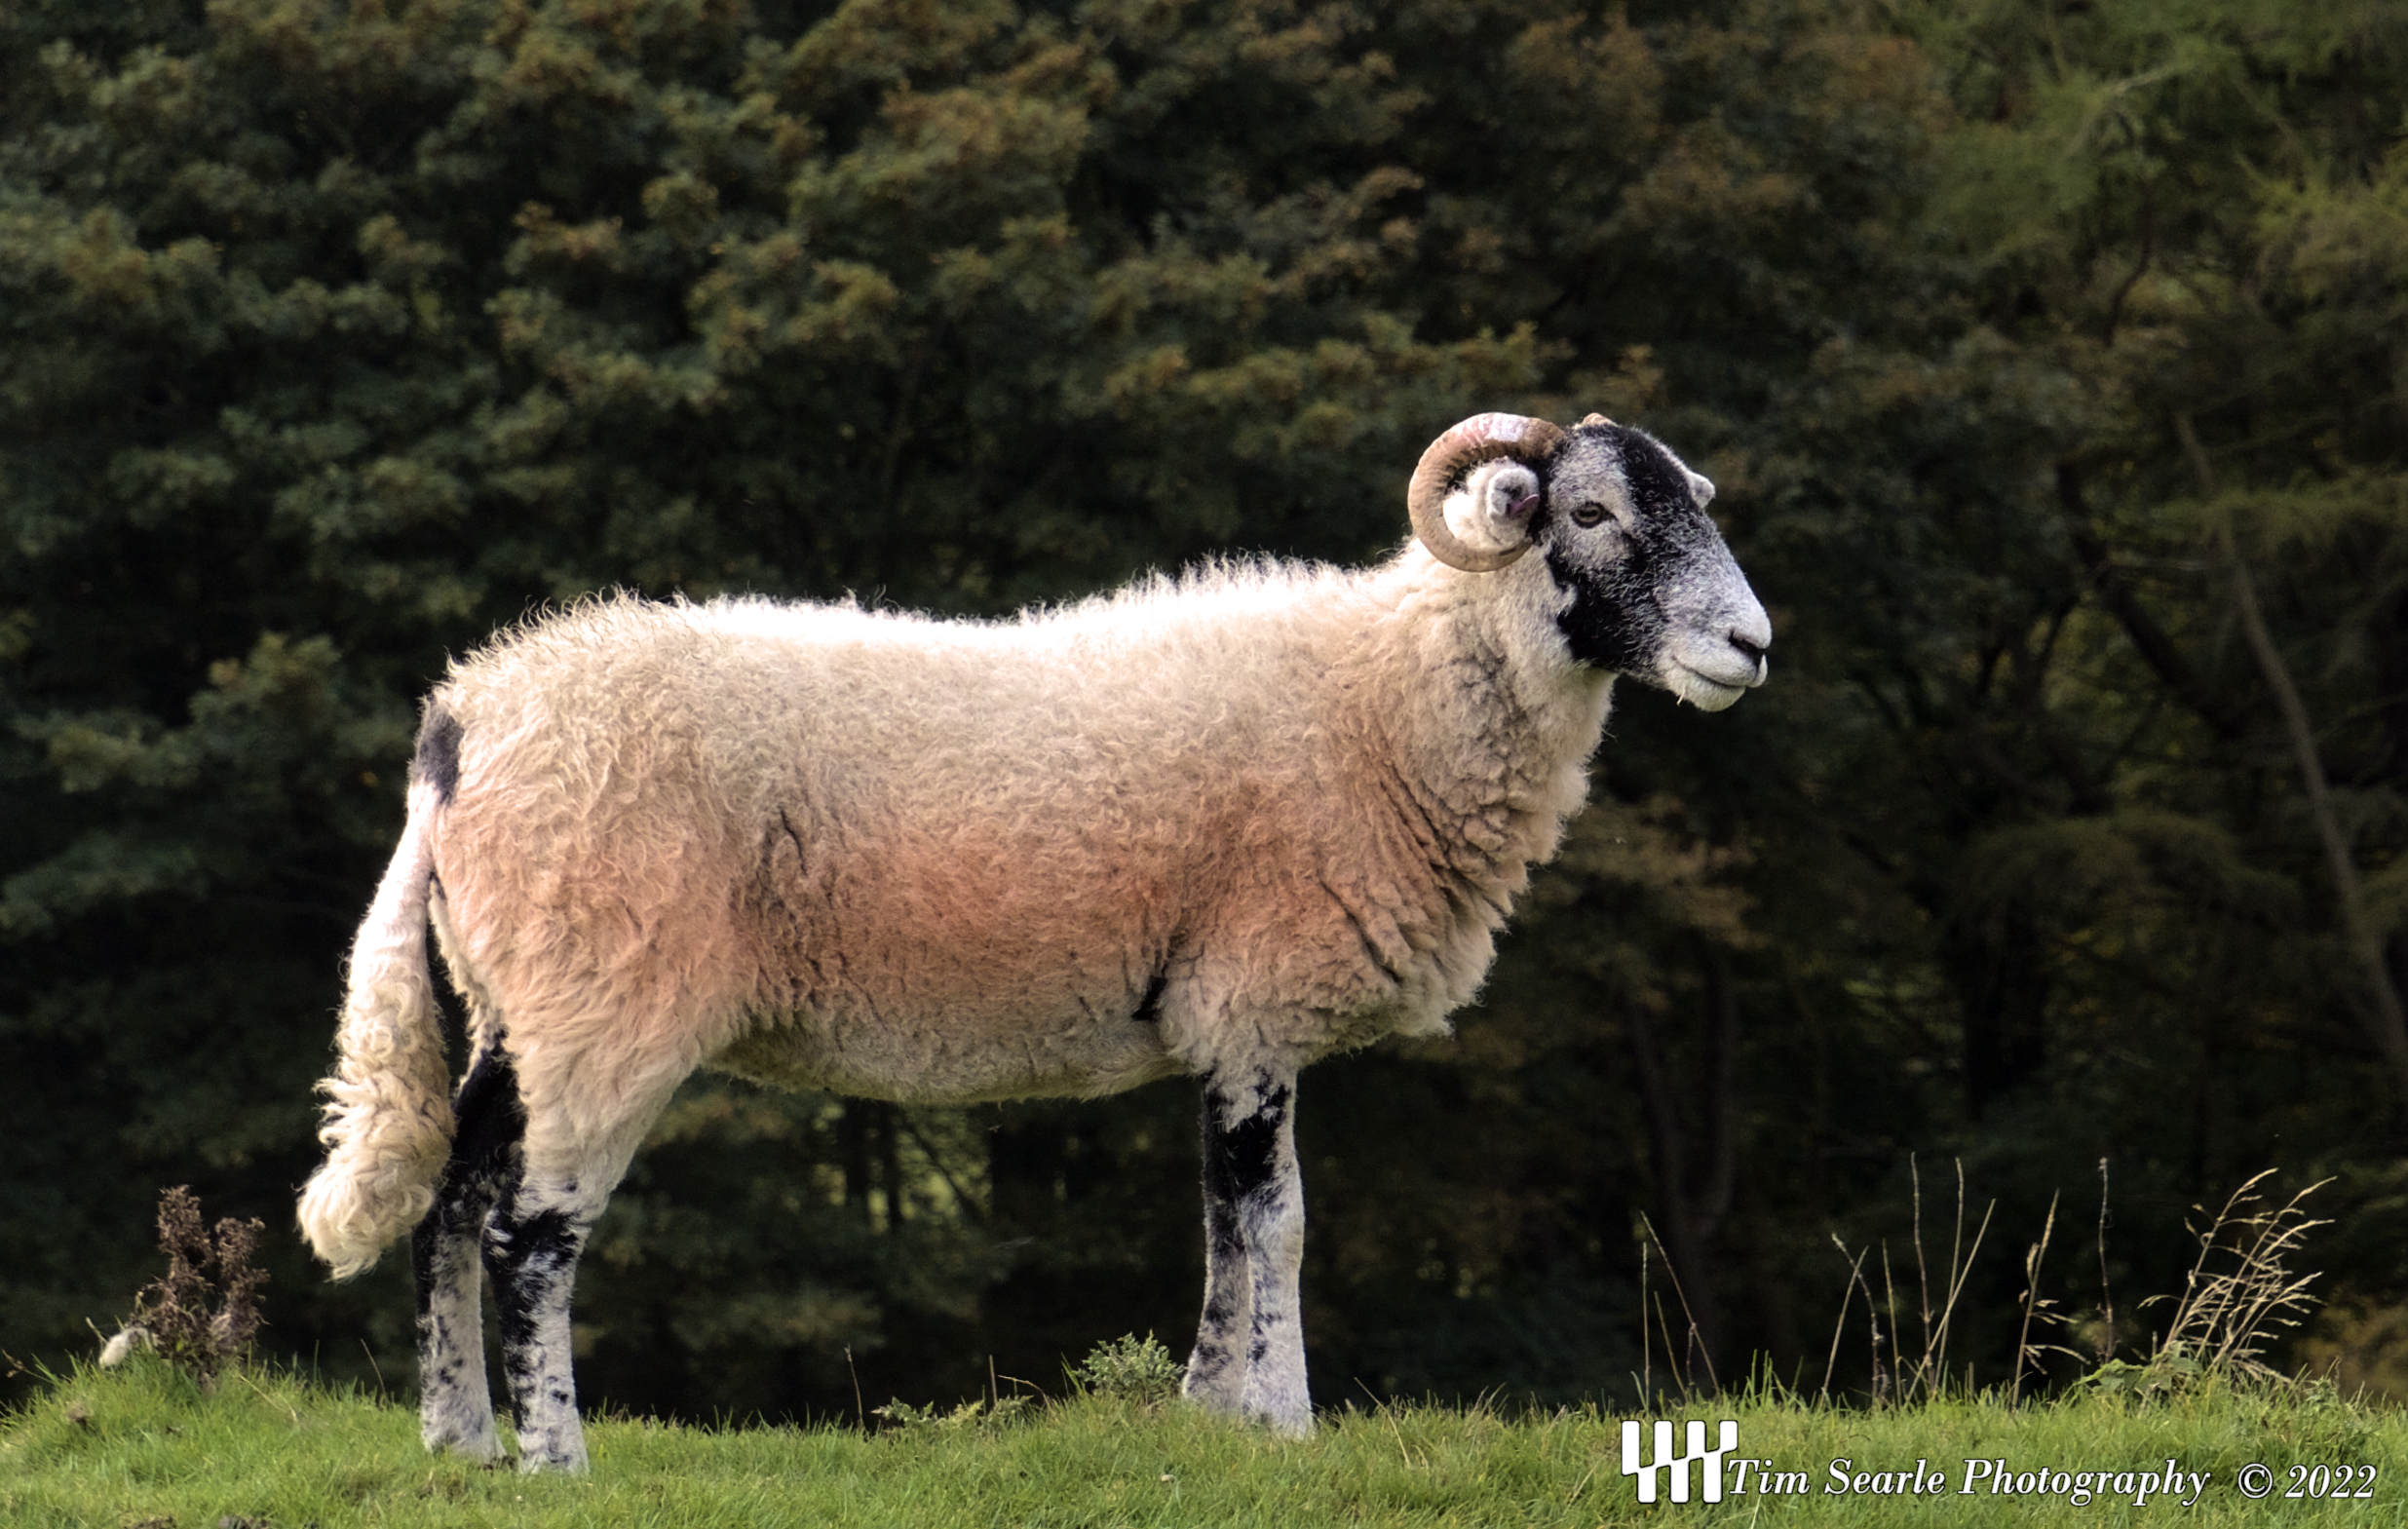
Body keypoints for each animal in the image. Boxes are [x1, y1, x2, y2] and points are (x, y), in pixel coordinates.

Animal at [296, 410, 1771, 1472]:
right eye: (1587, 513)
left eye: (1694, 499)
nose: (1750, 646)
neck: (1393, 690)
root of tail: (464, 718)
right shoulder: (1255, 997)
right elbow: (1280, 1224)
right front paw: (1285, 1426)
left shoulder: (1214, 1018)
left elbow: (1220, 1226)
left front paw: (1206, 1420)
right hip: (606, 999)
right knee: (528, 1235)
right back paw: (552, 1459)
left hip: (517, 998)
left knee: (448, 1202)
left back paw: (456, 1444)